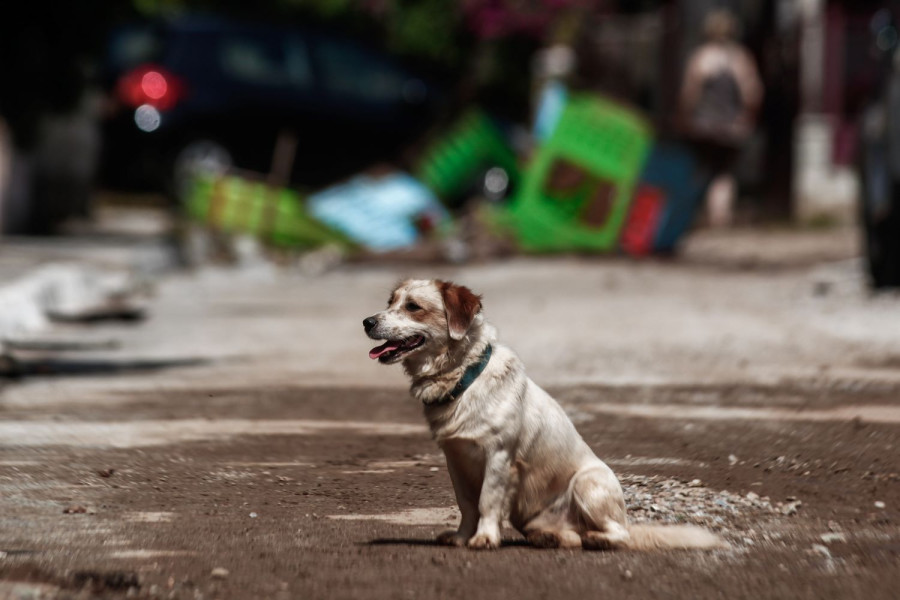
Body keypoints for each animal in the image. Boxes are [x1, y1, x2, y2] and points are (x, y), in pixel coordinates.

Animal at [362, 278, 720, 552]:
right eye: (390, 301)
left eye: (413, 306)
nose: (367, 322)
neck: (464, 378)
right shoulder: (455, 458)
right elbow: (466, 505)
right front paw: (463, 537)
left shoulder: (498, 455)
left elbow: (486, 501)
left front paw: (485, 538)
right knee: (571, 537)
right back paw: (554, 537)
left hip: (589, 483)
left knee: (617, 535)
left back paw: (598, 538)